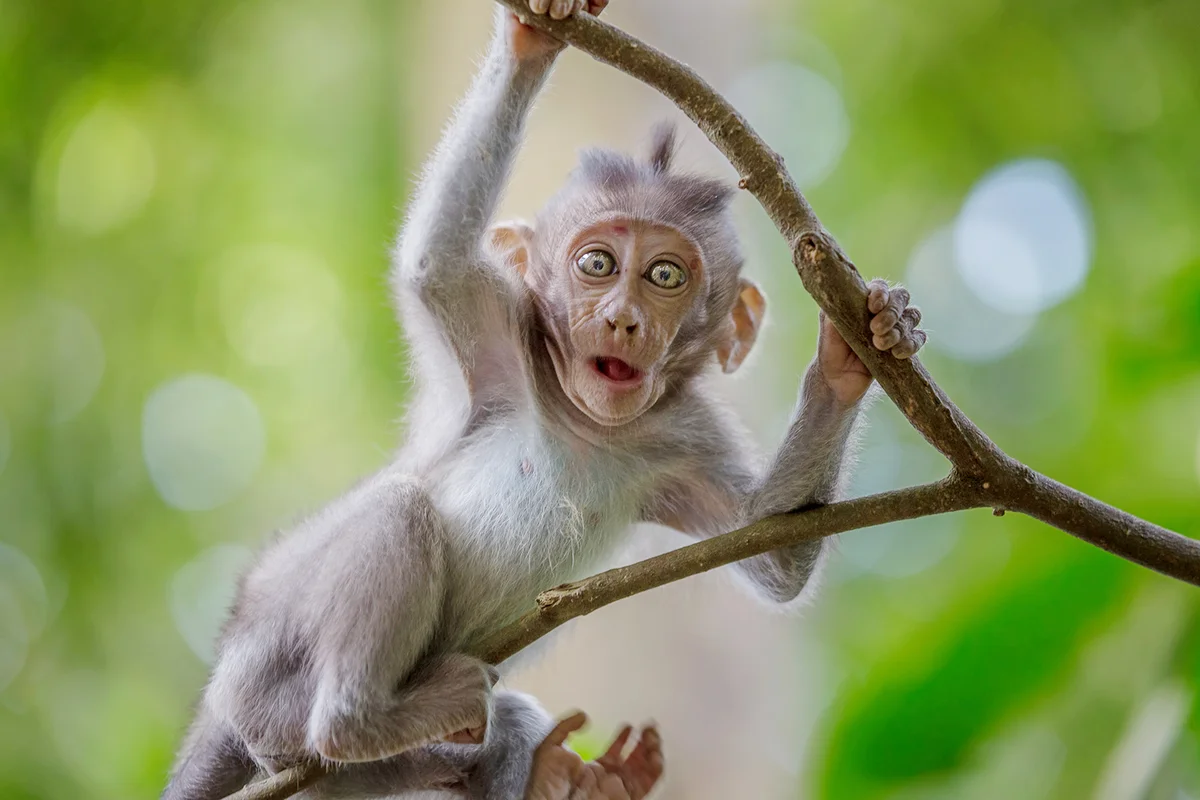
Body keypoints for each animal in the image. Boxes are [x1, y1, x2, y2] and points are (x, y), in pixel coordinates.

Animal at [162, 0, 927, 798]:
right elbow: (436, 263)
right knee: (399, 511)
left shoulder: (688, 434)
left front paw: (856, 349)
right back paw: (359, 719)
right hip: (266, 667)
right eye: (598, 264)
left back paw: (566, 775)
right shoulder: (501, 337)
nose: (622, 320)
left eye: (664, 275)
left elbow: (774, 551)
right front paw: (532, 41)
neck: (584, 418)